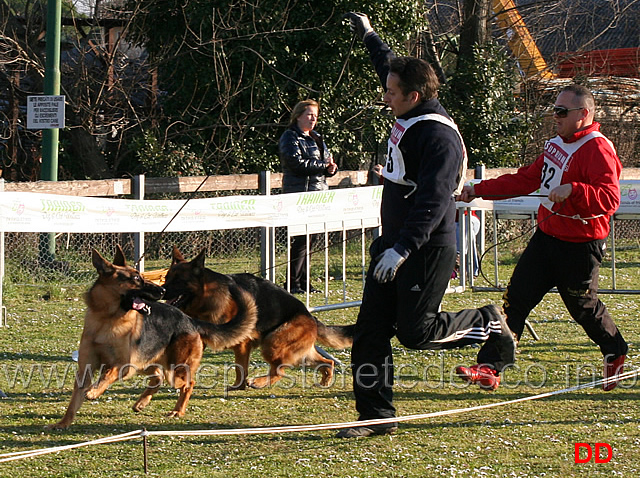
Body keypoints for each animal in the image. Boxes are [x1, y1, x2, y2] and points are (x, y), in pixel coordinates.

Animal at [48, 246, 256, 430]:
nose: (162, 291)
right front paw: (63, 423)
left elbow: (108, 373)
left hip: (173, 369)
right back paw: (141, 402)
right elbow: (74, 401)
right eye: (135, 279)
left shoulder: (123, 365)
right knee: (158, 377)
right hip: (145, 364)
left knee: (187, 383)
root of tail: (190, 320)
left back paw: (177, 410)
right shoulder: (86, 370)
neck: (107, 319)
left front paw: (94, 391)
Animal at [161, 248, 356, 390]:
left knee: (279, 370)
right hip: (300, 353)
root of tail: (309, 315)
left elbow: (240, 368)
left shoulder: (242, 343)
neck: (207, 294)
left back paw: (259, 382)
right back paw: (325, 380)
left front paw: (237, 387)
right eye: (166, 278)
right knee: (328, 362)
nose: (161, 291)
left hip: (272, 343)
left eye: (178, 281)